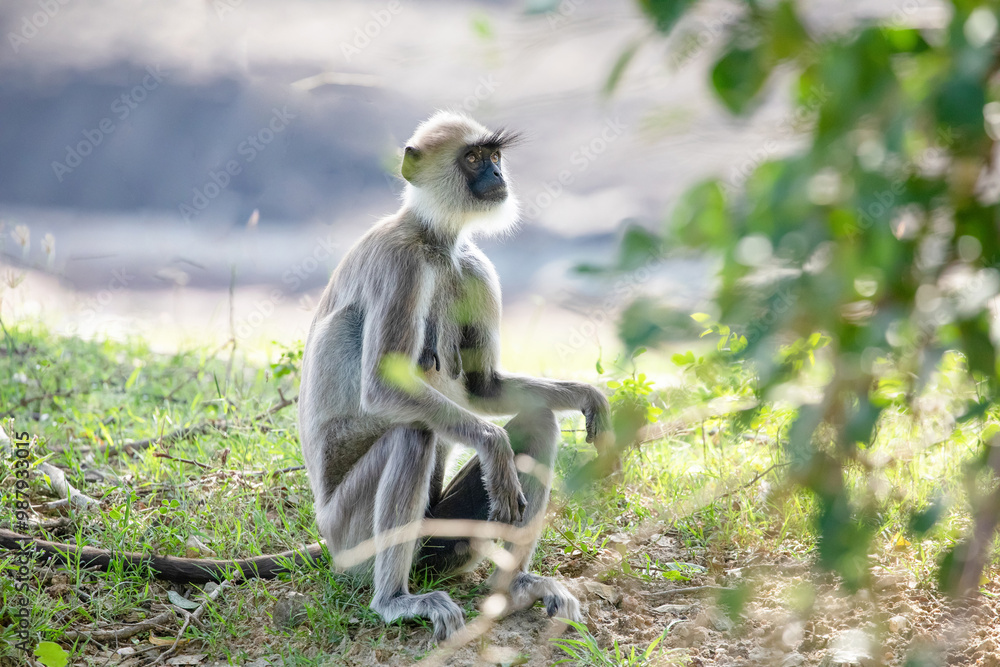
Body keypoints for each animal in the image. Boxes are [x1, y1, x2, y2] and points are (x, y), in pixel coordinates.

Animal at [296, 110, 612, 641]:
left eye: (495, 156)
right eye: (473, 158)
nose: (499, 175)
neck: (434, 242)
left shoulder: (476, 268)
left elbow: (484, 389)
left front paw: (584, 394)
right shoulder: (399, 262)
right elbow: (384, 390)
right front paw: (493, 444)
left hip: (438, 544)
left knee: (539, 420)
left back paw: (516, 586)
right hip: (351, 537)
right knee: (413, 435)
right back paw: (393, 600)